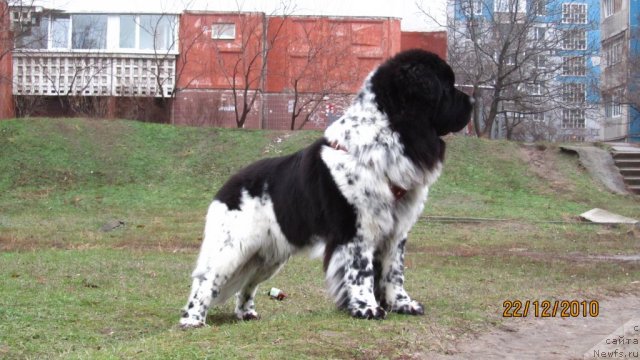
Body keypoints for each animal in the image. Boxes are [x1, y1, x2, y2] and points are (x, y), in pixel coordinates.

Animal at [178, 47, 472, 326]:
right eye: (447, 86)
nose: (472, 101)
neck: (388, 135)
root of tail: (228, 185)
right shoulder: (356, 230)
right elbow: (362, 272)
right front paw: (367, 308)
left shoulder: (396, 232)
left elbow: (394, 271)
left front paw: (402, 304)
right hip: (231, 246)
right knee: (205, 279)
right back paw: (192, 319)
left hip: (268, 256)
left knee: (248, 284)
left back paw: (247, 313)